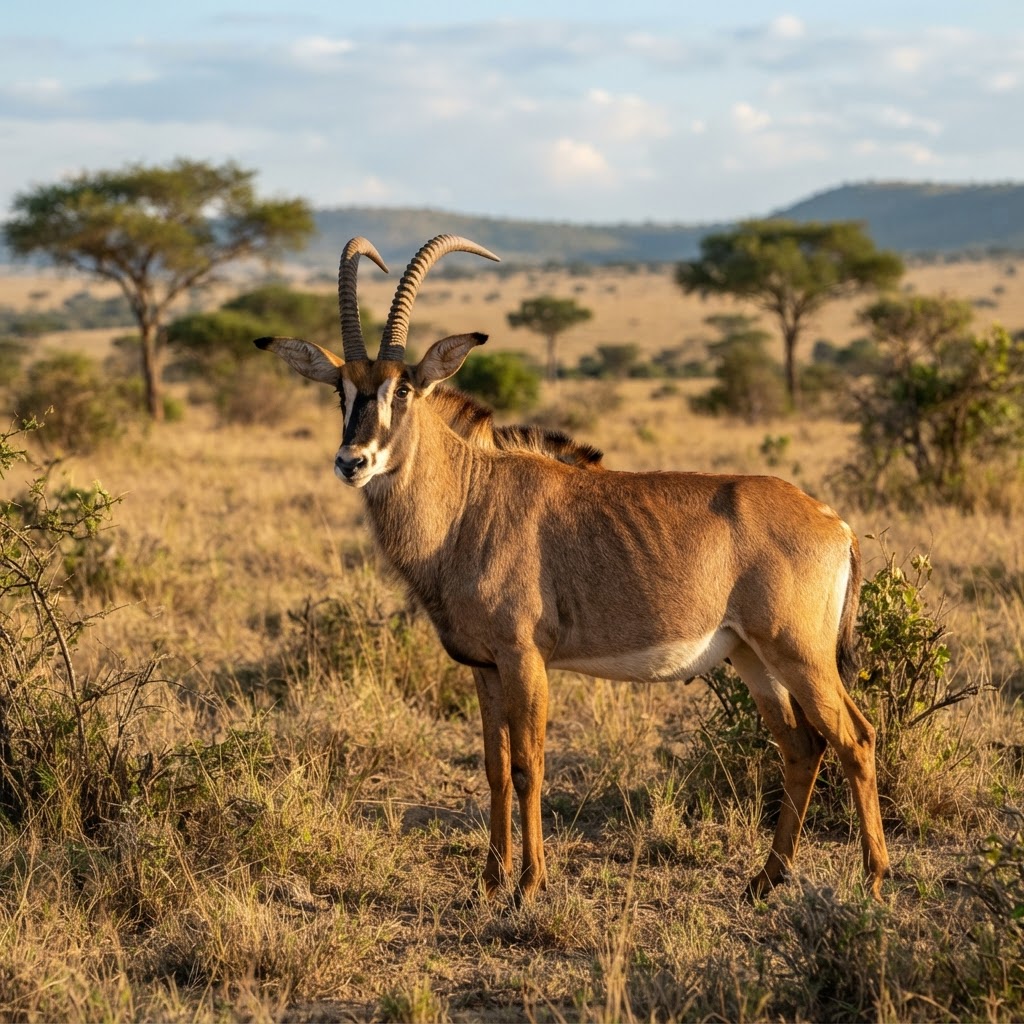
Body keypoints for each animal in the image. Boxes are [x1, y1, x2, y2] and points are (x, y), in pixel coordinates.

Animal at [256, 234, 890, 902]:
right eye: (341, 390)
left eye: (402, 390)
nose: (352, 462)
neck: (469, 499)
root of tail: (835, 524)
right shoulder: (484, 667)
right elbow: (494, 768)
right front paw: (490, 880)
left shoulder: (525, 657)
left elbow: (528, 766)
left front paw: (530, 883)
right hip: (752, 658)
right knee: (801, 747)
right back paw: (765, 879)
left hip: (800, 654)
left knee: (855, 738)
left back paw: (872, 879)